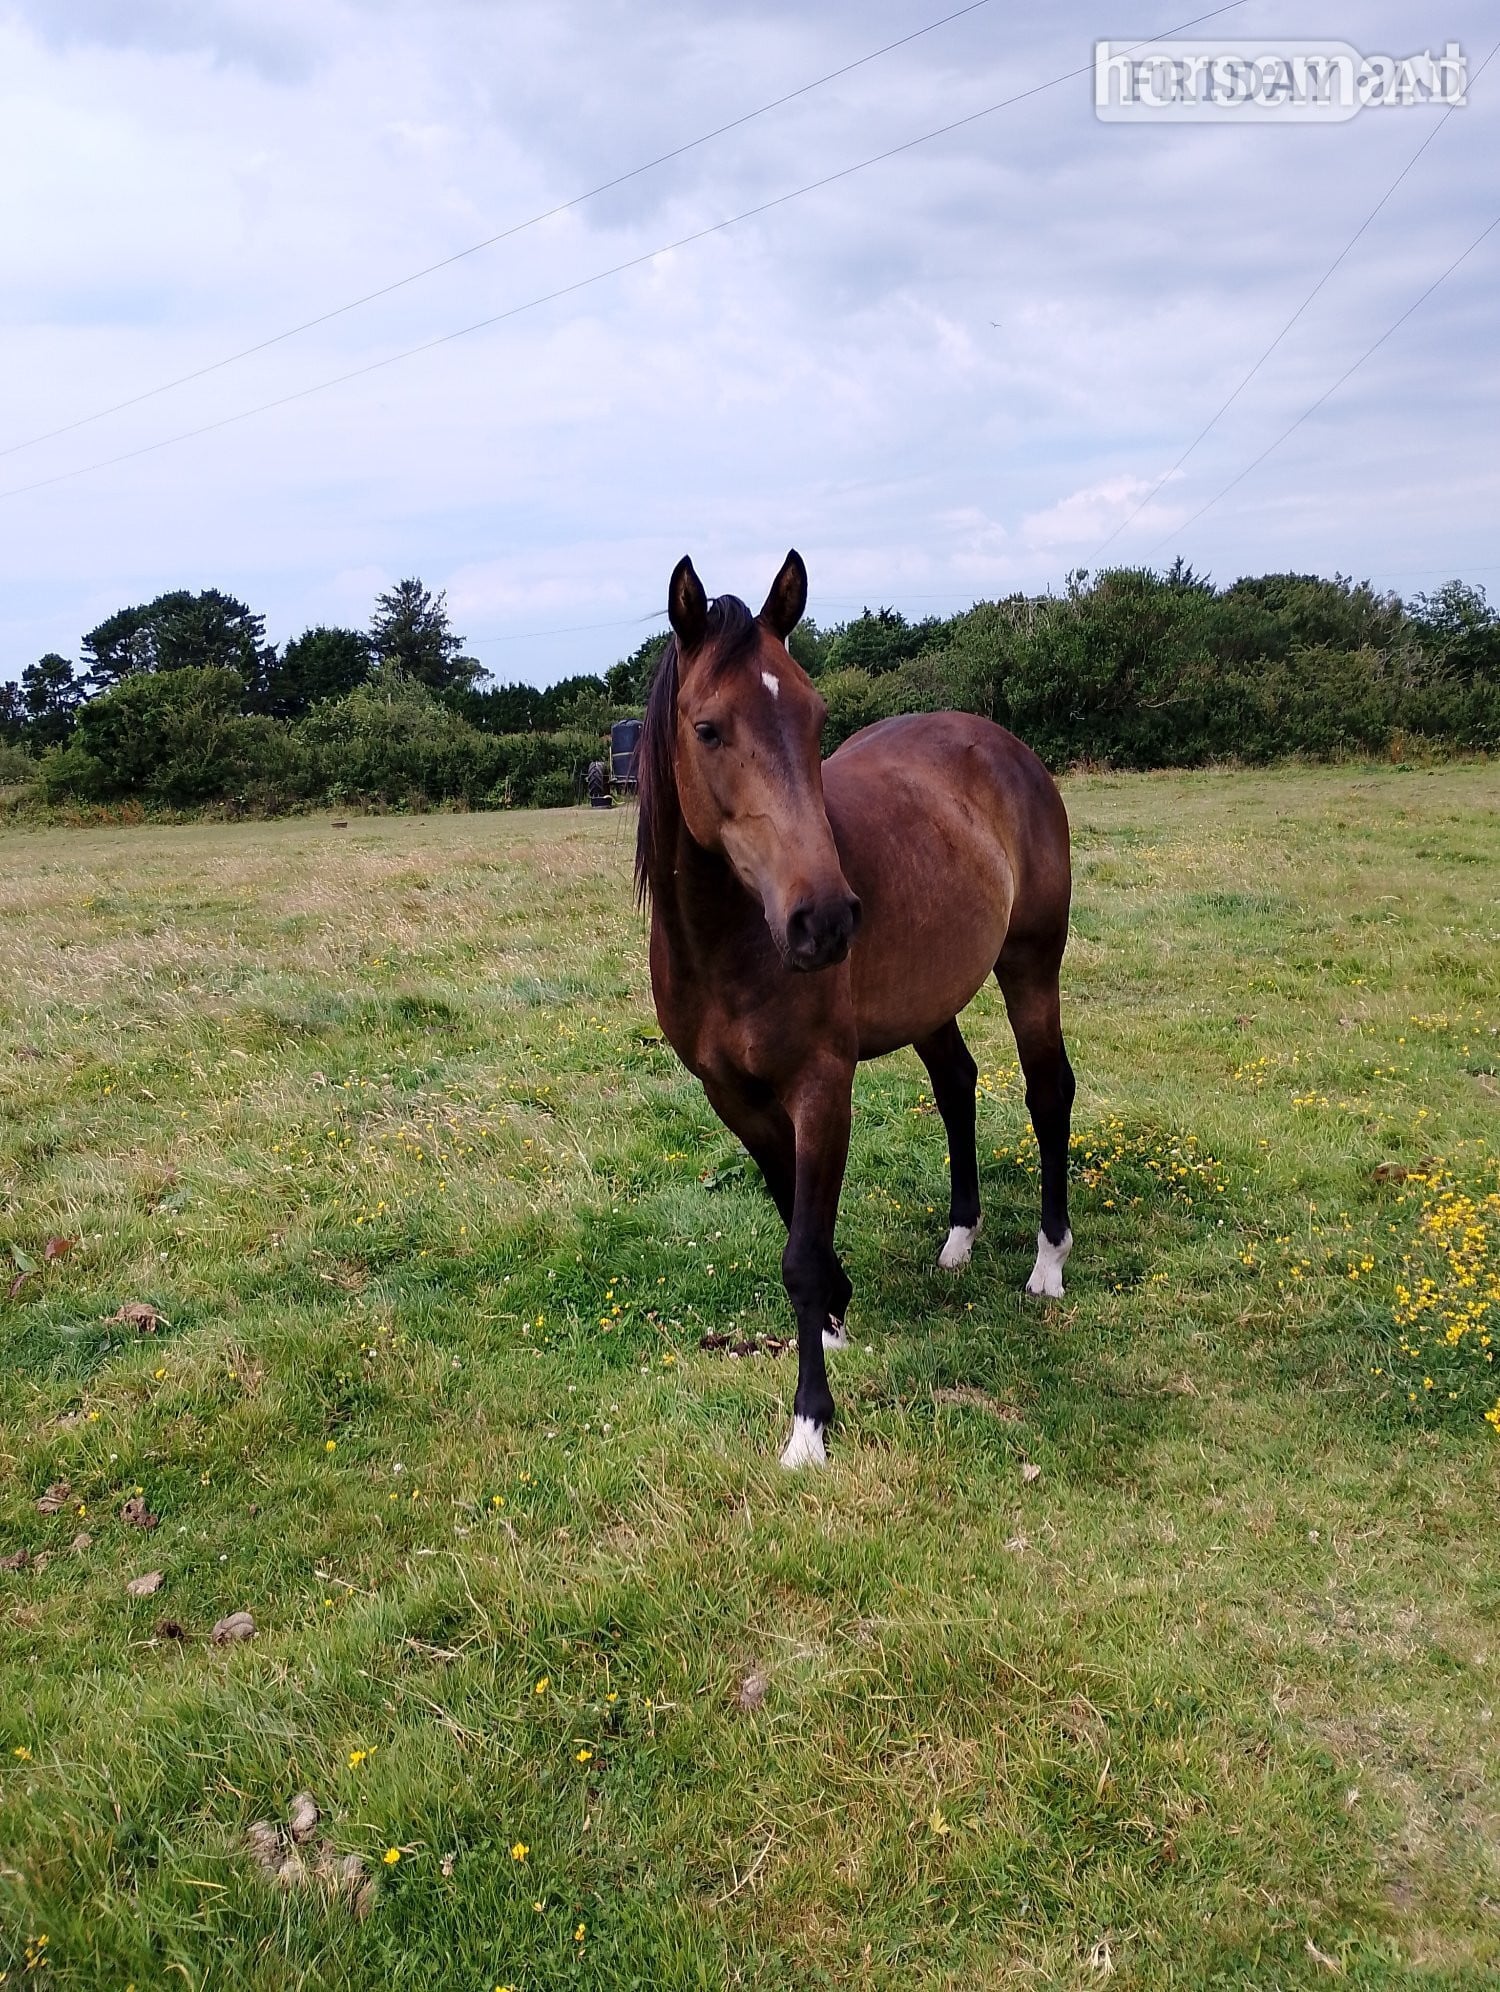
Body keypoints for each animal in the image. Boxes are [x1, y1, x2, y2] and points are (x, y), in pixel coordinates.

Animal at [635, 549, 1075, 1468]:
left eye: (815, 716)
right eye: (708, 728)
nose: (826, 920)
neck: (731, 942)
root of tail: (1001, 744)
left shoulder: (820, 1086)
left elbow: (799, 1252)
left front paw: (810, 1423)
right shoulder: (733, 1098)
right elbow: (790, 1214)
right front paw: (836, 1313)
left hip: (1030, 965)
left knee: (1047, 1092)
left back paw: (1048, 1264)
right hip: (930, 1000)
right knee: (957, 1086)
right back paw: (960, 1238)